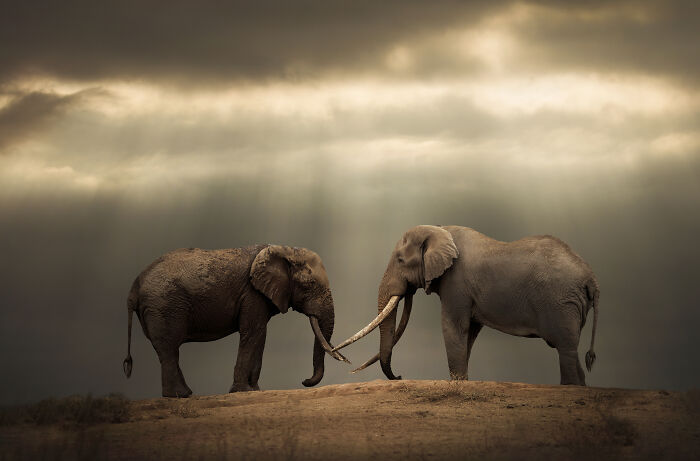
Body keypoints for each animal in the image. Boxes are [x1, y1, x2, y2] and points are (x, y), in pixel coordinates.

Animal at [122, 245, 349, 397]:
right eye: (309, 284)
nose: (304, 381)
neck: (285, 249)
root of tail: (134, 286)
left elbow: (260, 335)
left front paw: (255, 390)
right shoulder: (252, 294)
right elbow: (253, 332)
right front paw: (243, 391)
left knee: (167, 350)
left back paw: (183, 394)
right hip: (163, 305)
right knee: (169, 348)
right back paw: (180, 395)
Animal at [333, 225, 599, 386]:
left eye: (400, 260)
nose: (399, 376)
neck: (439, 231)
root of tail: (591, 279)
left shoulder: (456, 283)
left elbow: (453, 327)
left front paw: (457, 383)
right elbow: (468, 332)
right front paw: (463, 381)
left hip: (561, 302)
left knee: (565, 348)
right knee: (570, 349)